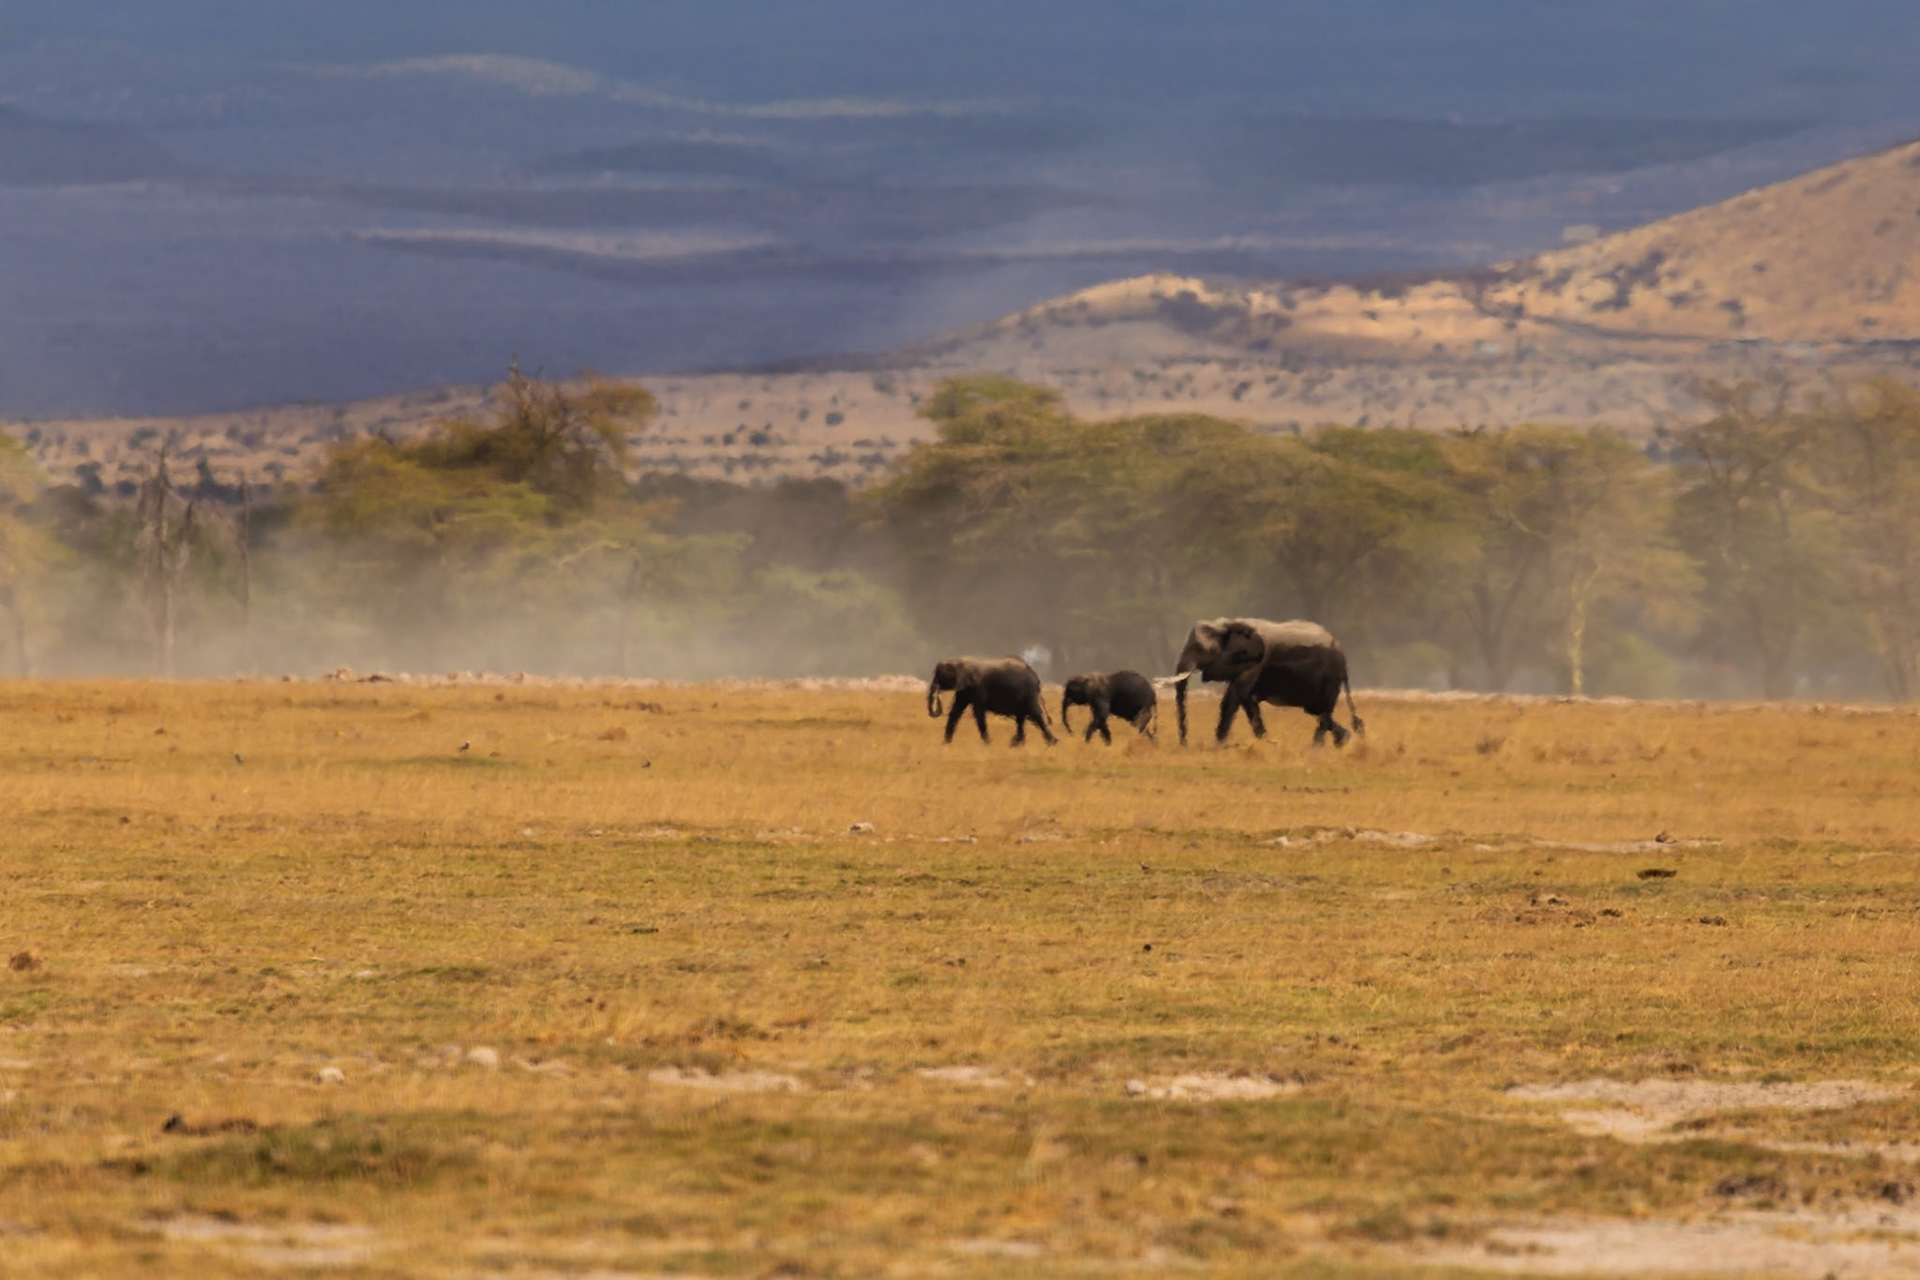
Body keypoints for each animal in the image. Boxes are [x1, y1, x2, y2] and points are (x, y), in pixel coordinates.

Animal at [927, 656, 1057, 746]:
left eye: (940, 676)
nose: (938, 695)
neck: (959, 661)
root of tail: (1036, 676)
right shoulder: (964, 689)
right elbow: (956, 711)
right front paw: (945, 743)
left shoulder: (978, 688)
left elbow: (978, 711)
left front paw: (988, 743)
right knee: (1021, 717)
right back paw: (1016, 744)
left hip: (1028, 692)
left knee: (1034, 713)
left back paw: (1052, 743)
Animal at [1166, 617, 1364, 747]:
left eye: (1199, 649)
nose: (1184, 744)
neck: (1226, 624)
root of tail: (1341, 652)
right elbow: (1243, 700)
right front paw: (1265, 741)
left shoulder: (1258, 661)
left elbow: (1236, 696)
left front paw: (1219, 746)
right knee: (1317, 710)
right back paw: (1344, 740)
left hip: (1331, 675)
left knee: (1322, 712)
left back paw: (1316, 749)